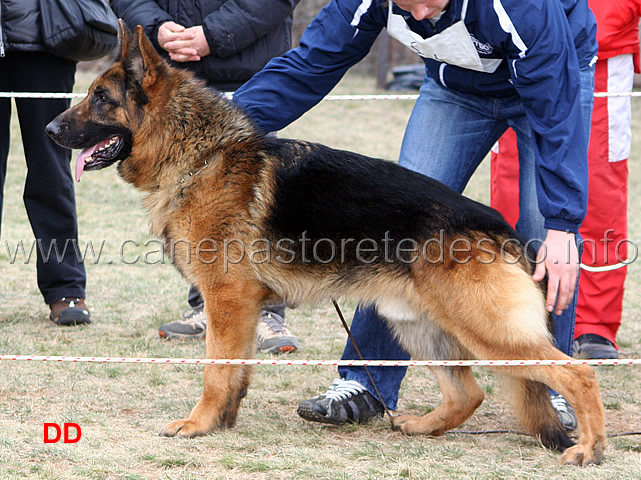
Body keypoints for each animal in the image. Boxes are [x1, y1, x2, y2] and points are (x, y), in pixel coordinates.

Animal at [47, 22, 604, 464]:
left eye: (101, 99)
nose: (50, 128)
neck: (199, 154)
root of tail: (496, 225)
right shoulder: (241, 308)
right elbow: (236, 373)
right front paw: (223, 421)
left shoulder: (227, 300)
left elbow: (216, 370)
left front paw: (199, 424)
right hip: (419, 324)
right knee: (467, 394)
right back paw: (420, 426)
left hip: (486, 330)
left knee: (576, 374)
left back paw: (589, 448)